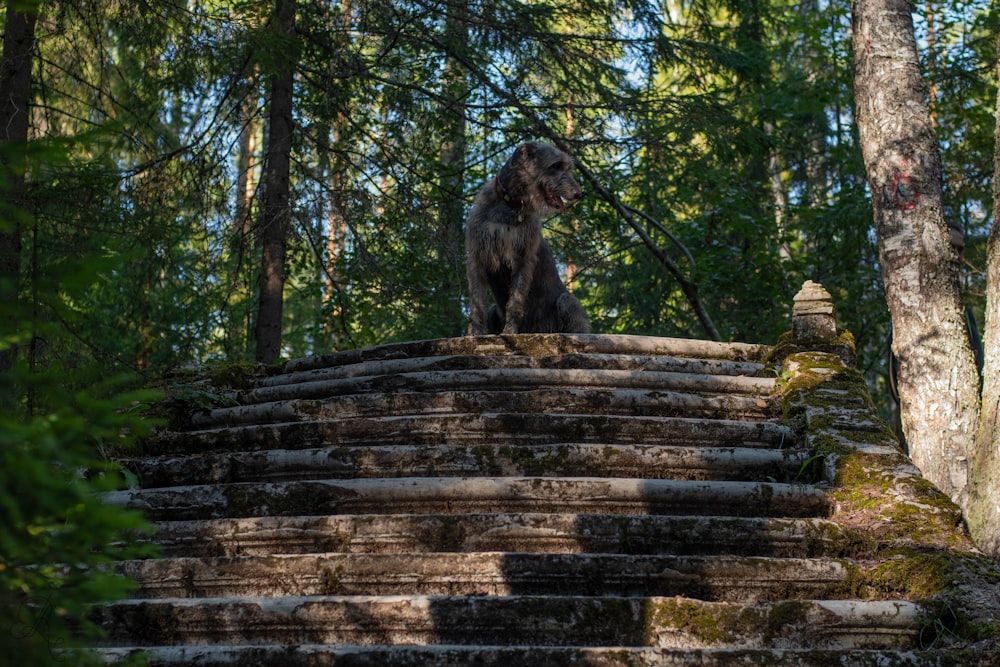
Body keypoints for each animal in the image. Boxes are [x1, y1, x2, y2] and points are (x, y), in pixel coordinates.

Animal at [464, 144, 588, 336]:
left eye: (567, 167)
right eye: (556, 165)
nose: (578, 193)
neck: (510, 204)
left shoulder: (523, 258)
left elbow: (516, 300)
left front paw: (510, 331)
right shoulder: (478, 255)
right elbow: (477, 302)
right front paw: (475, 334)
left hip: (567, 302)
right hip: (493, 311)